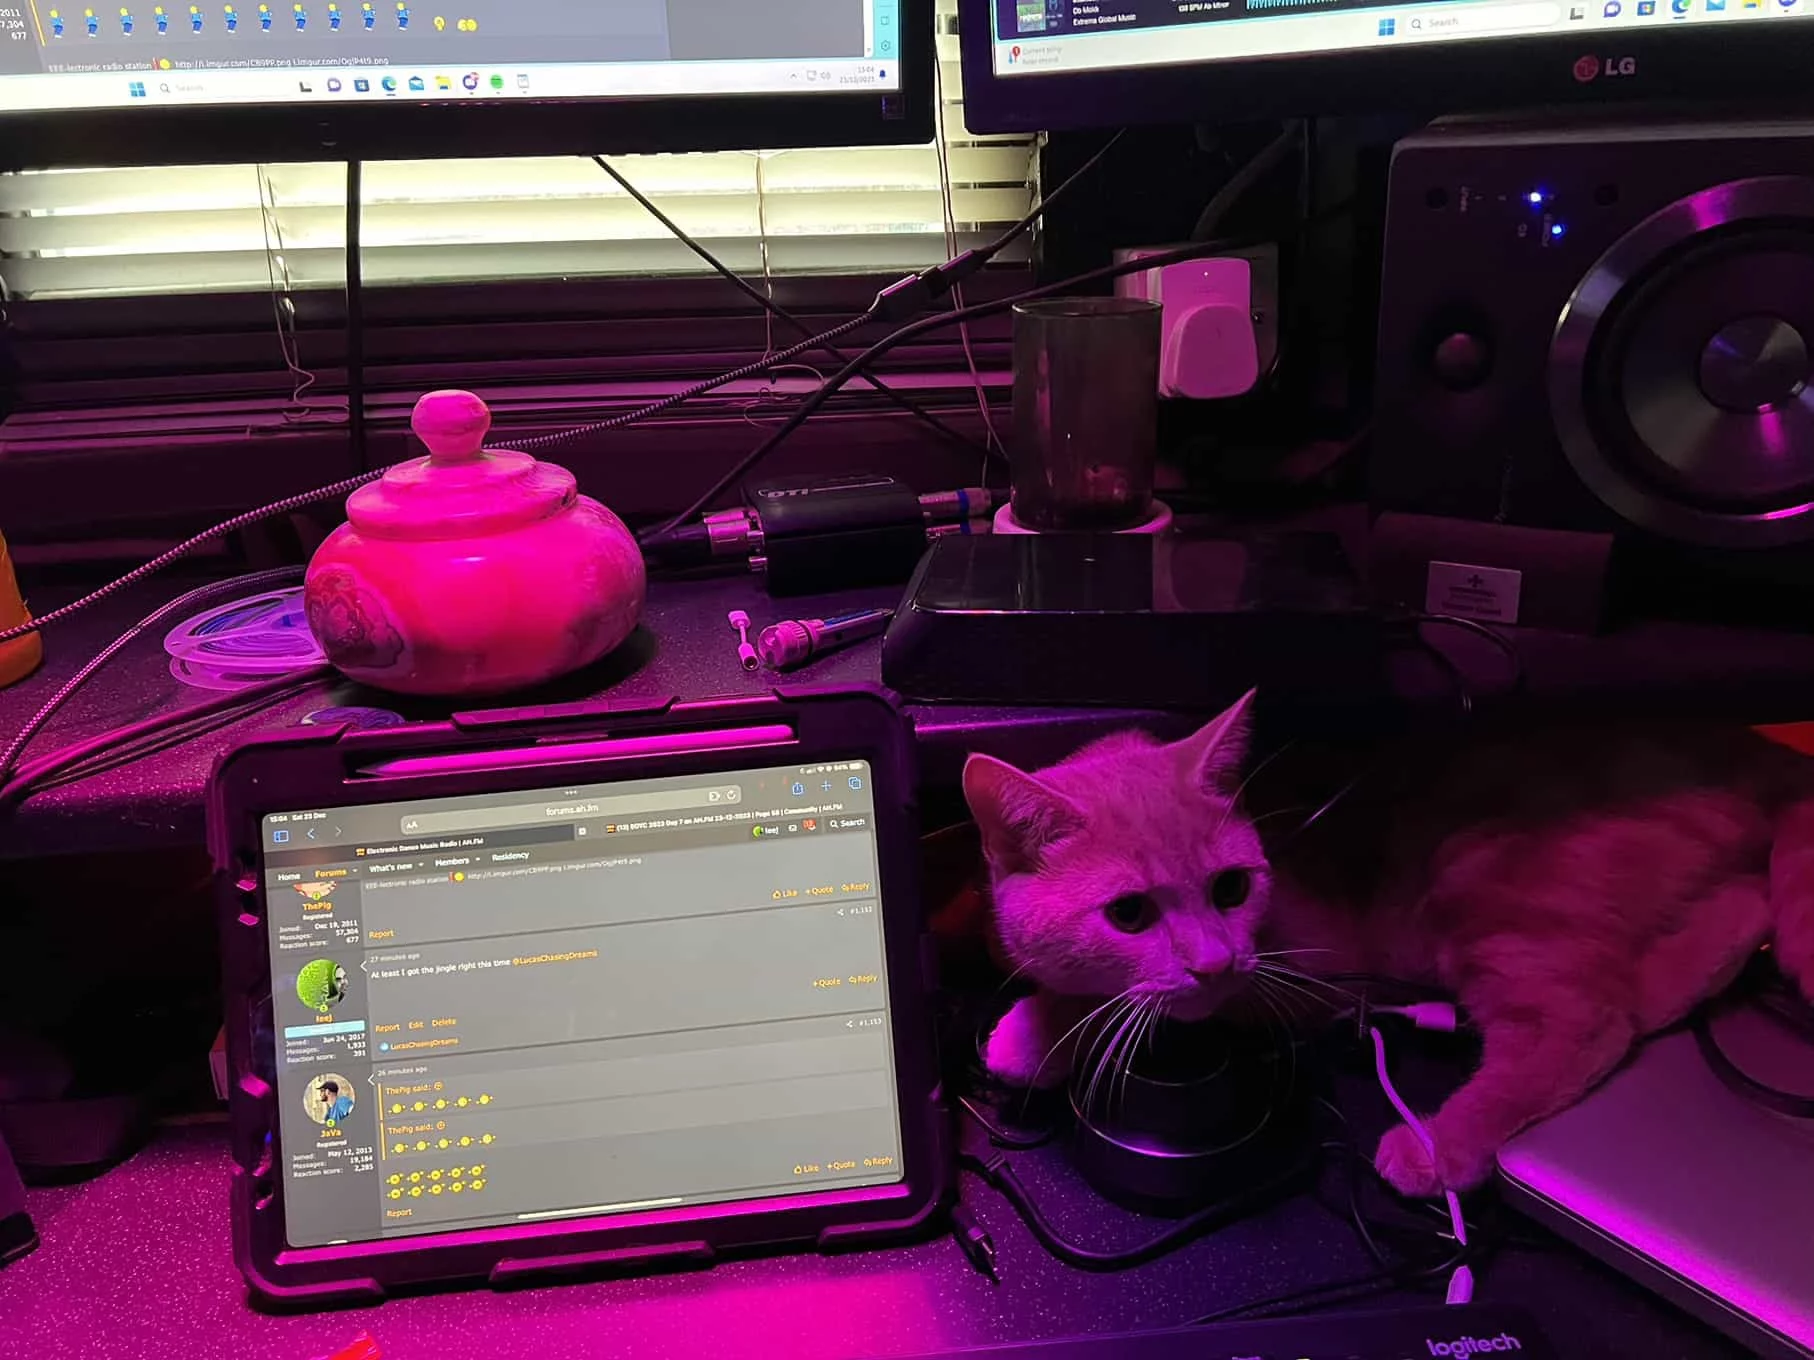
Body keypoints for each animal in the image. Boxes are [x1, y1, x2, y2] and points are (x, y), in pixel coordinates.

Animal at [962, 691, 1814, 1198]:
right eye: (1131, 913)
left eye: (1232, 890)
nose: (1215, 961)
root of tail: (1756, 746)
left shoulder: (1303, 972)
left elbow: (1134, 1006)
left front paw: (1035, 1030)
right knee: (1722, 928)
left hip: (1480, 879)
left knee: (1585, 1026)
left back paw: (1438, 1145)